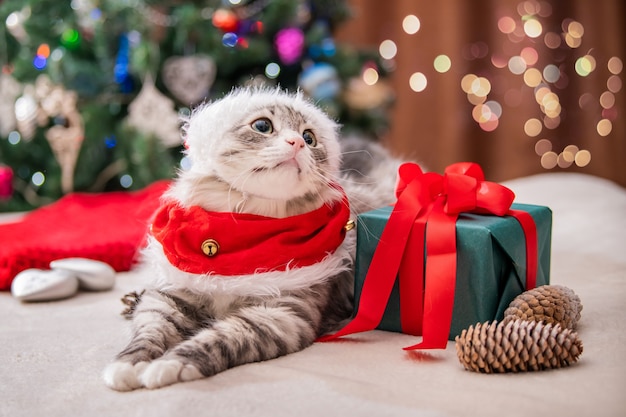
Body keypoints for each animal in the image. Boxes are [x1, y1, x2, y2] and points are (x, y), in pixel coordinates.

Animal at [100, 87, 398, 390]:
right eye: (263, 126)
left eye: (309, 138)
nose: (297, 143)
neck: (245, 228)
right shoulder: (168, 297)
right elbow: (147, 335)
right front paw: (129, 365)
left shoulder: (282, 314)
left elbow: (218, 339)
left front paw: (172, 365)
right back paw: (130, 299)